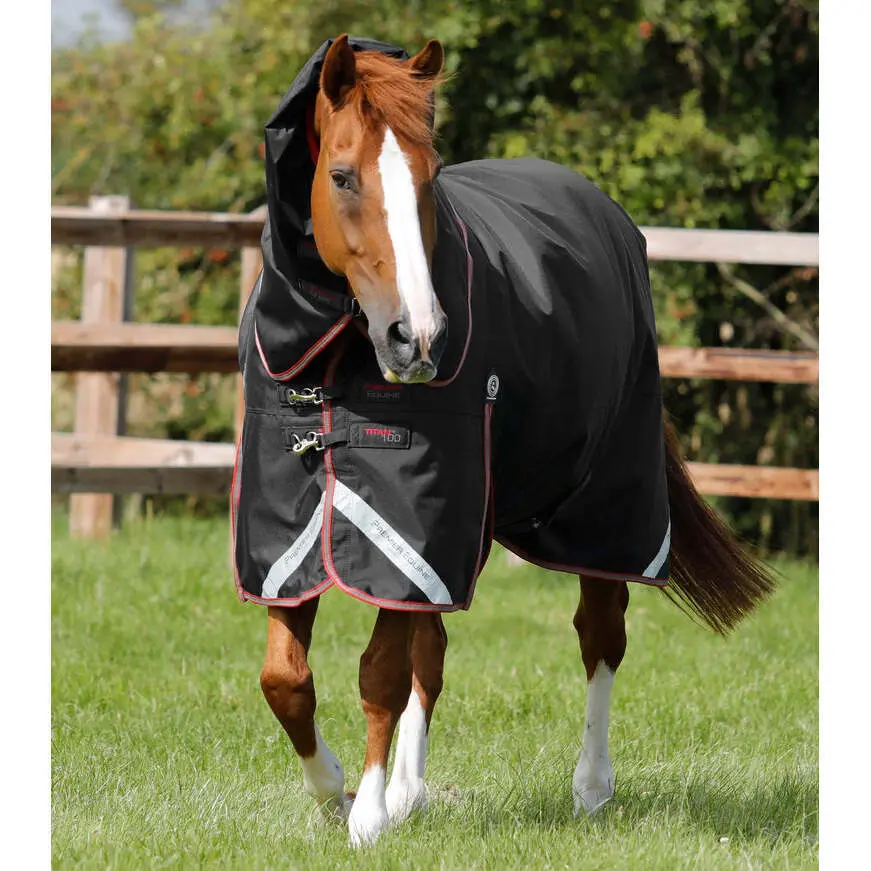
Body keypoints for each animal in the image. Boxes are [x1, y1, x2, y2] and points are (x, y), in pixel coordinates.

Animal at [232, 34, 775, 847]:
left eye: (429, 179)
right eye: (341, 175)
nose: (417, 335)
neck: (331, 356)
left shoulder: (411, 524)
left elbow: (378, 671)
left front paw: (363, 815)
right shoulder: (291, 531)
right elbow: (286, 679)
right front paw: (335, 793)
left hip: (600, 507)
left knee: (599, 635)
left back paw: (590, 788)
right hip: (467, 524)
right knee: (433, 651)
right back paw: (411, 792)